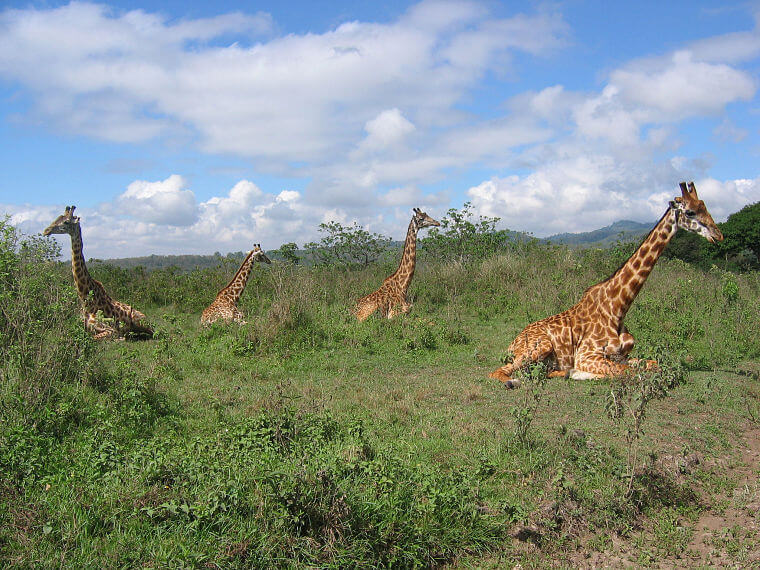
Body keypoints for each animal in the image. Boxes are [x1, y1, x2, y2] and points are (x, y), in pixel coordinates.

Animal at [42, 204, 154, 338]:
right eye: (57, 217)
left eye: (66, 221)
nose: (46, 231)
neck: (85, 299)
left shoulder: (110, 329)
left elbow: (98, 337)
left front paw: (121, 338)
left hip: (141, 322)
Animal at [490, 182, 720, 386]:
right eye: (690, 212)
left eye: (706, 207)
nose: (718, 235)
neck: (618, 308)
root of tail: (512, 343)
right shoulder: (587, 355)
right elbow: (629, 373)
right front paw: (582, 373)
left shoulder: (622, 356)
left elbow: (653, 365)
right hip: (540, 346)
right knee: (500, 372)